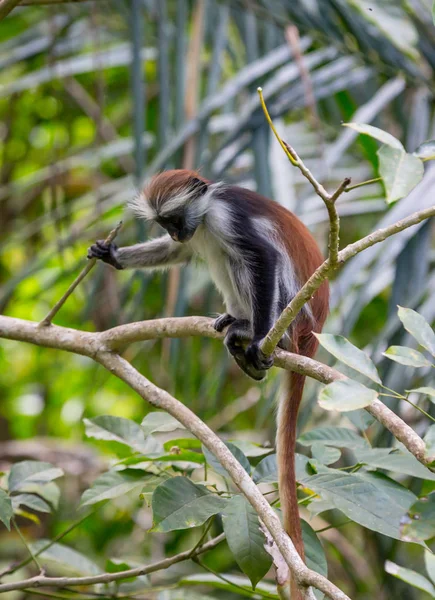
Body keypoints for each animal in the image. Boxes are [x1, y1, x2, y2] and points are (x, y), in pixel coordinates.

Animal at [87, 169, 328, 596]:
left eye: (173, 218)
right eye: (164, 223)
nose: (177, 231)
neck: (206, 209)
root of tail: (310, 338)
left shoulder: (224, 217)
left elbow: (263, 256)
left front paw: (258, 335)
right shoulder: (197, 230)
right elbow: (178, 253)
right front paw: (113, 255)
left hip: (292, 310)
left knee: (244, 259)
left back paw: (257, 333)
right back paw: (234, 323)